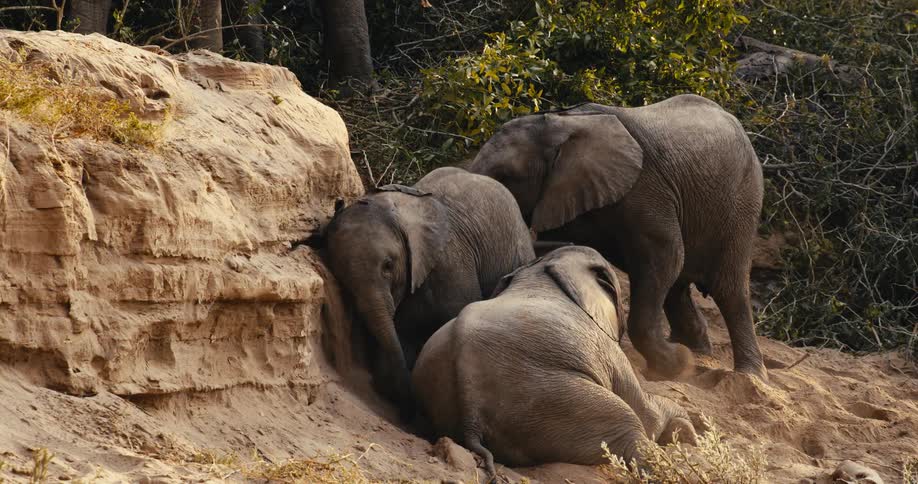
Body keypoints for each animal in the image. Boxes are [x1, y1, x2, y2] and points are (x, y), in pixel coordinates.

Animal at [412, 246, 697, 477]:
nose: (693, 438)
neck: (540, 270)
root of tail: (470, 415)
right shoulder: (607, 348)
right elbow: (645, 411)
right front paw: (689, 433)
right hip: (554, 398)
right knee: (629, 425)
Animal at [468, 94, 767, 380]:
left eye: (505, 175)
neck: (562, 123)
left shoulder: (646, 188)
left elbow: (666, 256)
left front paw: (676, 366)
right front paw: (680, 362)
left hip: (741, 202)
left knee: (727, 287)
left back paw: (748, 375)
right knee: (678, 285)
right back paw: (696, 351)